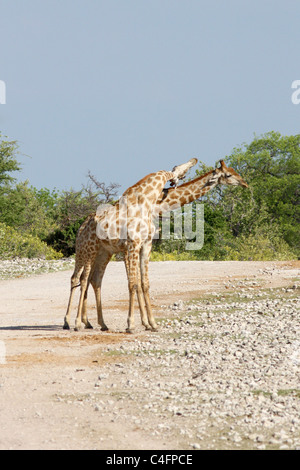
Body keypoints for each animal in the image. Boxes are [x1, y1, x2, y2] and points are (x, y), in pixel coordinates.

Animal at [62, 157, 199, 330]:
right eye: (182, 168)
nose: (194, 160)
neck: (146, 199)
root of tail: (82, 227)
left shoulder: (145, 245)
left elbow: (143, 283)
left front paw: (151, 324)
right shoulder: (133, 244)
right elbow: (133, 283)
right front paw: (132, 325)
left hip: (100, 253)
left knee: (91, 279)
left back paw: (98, 324)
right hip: (88, 249)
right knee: (81, 279)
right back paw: (75, 323)